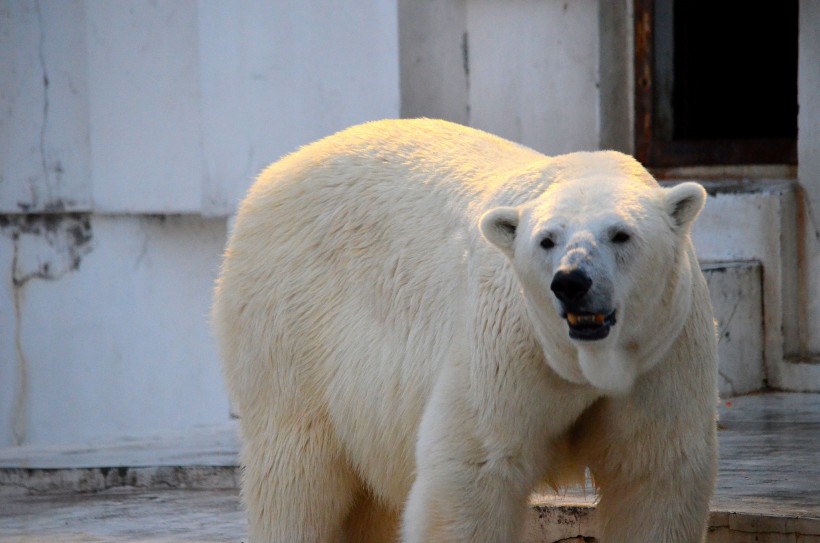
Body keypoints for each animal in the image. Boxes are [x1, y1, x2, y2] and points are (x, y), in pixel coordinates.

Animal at [211, 120, 716, 543]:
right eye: (547, 240)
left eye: (620, 234)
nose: (572, 283)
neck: (584, 361)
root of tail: (269, 178)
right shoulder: (505, 347)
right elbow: (471, 473)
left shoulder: (661, 353)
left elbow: (654, 478)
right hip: (290, 327)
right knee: (296, 476)